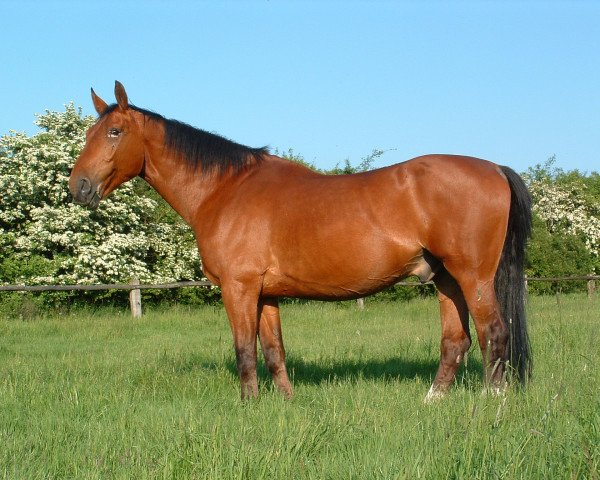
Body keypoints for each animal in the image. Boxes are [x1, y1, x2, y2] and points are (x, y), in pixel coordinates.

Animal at [68, 81, 532, 402]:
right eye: (89, 134)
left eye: (114, 131)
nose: (79, 187)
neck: (225, 189)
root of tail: (494, 167)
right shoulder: (265, 293)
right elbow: (274, 350)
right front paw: (285, 403)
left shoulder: (238, 288)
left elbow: (244, 351)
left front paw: (248, 406)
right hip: (446, 280)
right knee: (456, 341)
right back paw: (431, 401)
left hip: (473, 278)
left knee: (494, 333)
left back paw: (493, 401)